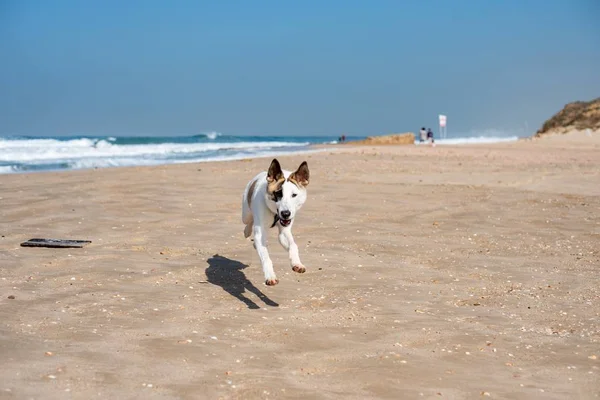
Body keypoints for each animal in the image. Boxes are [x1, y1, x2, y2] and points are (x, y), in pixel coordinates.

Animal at [243, 158, 312, 286]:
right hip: (245, 213)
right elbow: (265, 256)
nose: (285, 213)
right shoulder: (260, 232)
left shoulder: (284, 231)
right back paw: (247, 231)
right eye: (278, 193)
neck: (275, 214)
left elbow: (293, 245)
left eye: (294, 195)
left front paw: (297, 263)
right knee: (249, 220)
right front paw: (270, 276)